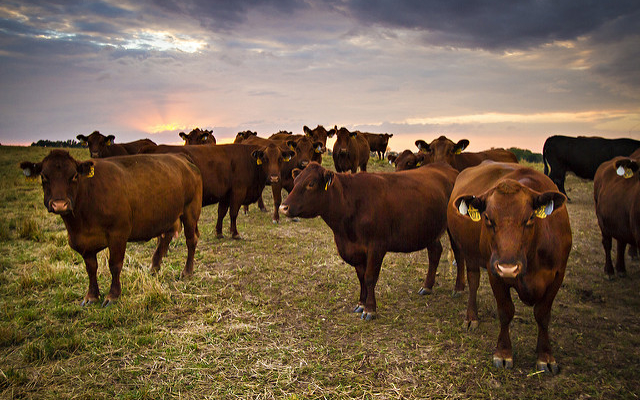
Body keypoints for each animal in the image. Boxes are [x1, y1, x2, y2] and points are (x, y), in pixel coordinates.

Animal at [20, 150, 202, 306]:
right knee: (165, 238)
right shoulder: (84, 243)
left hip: (190, 211)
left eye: (74, 176)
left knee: (191, 240)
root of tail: (180, 156)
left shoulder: (118, 234)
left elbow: (115, 265)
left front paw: (113, 295)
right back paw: (154, 269)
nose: (59, 204)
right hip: (169, 215)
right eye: (44, 177)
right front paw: (91, 296)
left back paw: (187, 272)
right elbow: (91, 268)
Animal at [140, 144, 289, 237]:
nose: (274, 177)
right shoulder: (238, 192)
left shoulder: (225, 195)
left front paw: (219, 232)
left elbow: (221, 213)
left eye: (280, 159)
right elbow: (233, 213)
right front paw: (235, 233)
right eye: (265, 158)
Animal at [279, 162, 460, 320]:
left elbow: (370, 277)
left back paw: (459, 288)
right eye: (295, 181)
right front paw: (361, 303)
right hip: (428, 229)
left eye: (311, 184)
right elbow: (361, 277)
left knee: (458, 254)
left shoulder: (376, 246)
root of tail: (448, 168)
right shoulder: (354, 249)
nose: (283, 207)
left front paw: (370, 309)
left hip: (452, 229)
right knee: (435, 252)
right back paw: (427, 286)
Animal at [448, 161, 571, 374]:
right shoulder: (494, 273)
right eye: (487, 218)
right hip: (470, 254)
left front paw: (545, 356)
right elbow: (506, 311)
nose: (508, 268)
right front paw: (504, 353)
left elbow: (543, 315)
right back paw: (471, 317)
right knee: (473, 281)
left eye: (530, 218)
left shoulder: (558, 274)